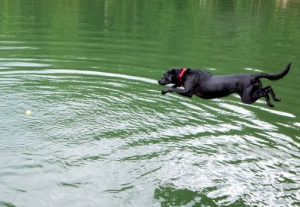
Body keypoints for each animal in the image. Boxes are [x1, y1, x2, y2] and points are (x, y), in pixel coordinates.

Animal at [158, 63, 292, 107]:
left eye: (165, 75)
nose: (158, 81)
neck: (185, 74)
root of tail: (253, 76)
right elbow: (174, 87)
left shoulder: (188, 92)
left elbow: (173, 88)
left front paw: (164, 91)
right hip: (253, 92)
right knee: (268, 88)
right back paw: (274, 100)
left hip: (247, 98)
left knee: (266, 91)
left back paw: (271, 102)